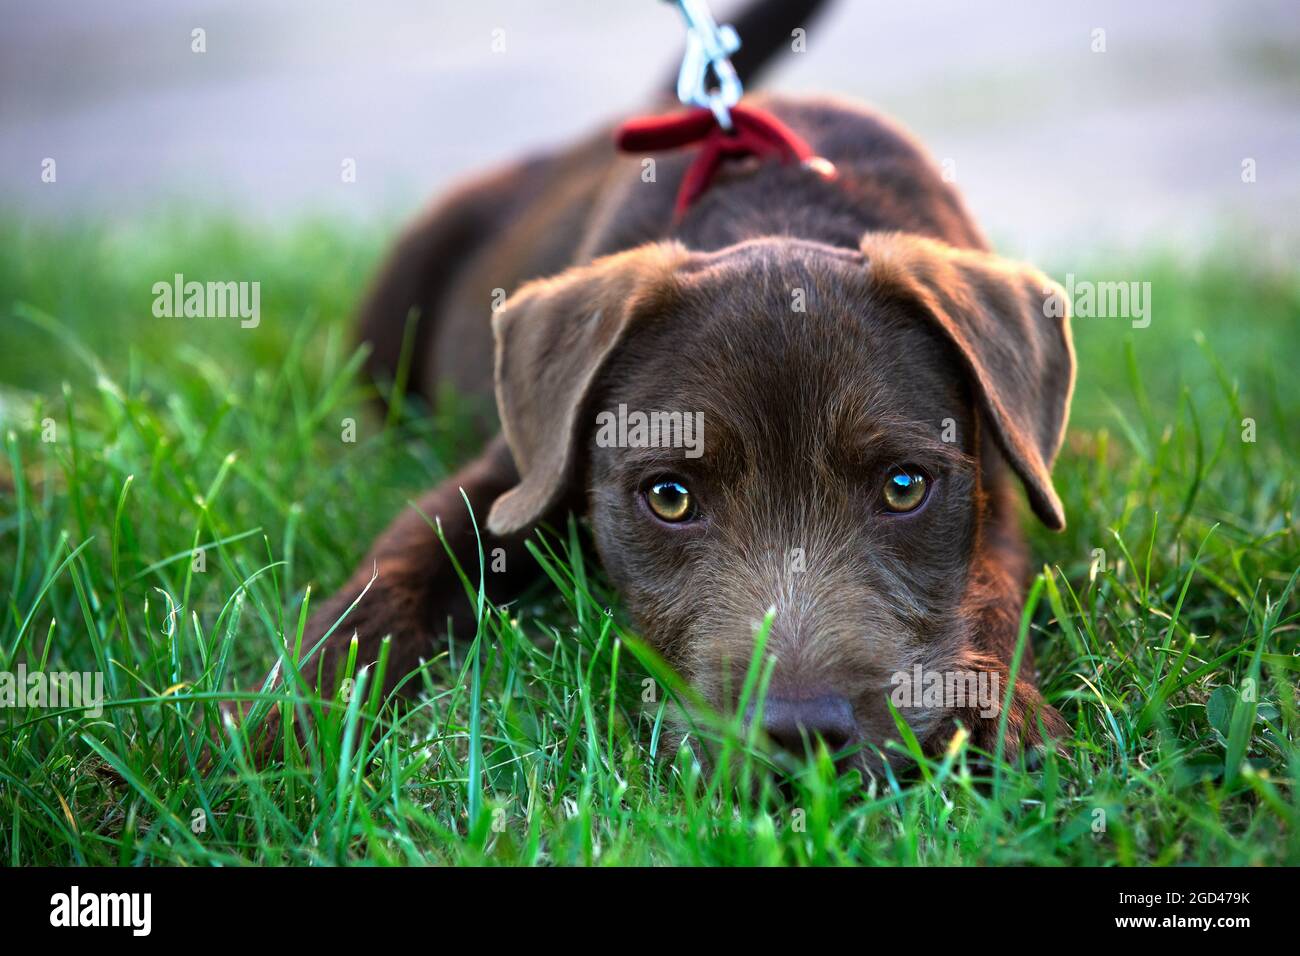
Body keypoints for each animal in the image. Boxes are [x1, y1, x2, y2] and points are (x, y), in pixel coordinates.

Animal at [299, 1, 1071, 770]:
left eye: (904, 487)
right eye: (669, 498)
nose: (801, 734)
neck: (777, 212)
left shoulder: (995, 484)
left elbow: (992, 579)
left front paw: (998, 710)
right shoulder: (508, 478)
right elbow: (392, 578)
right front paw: (294, 718)